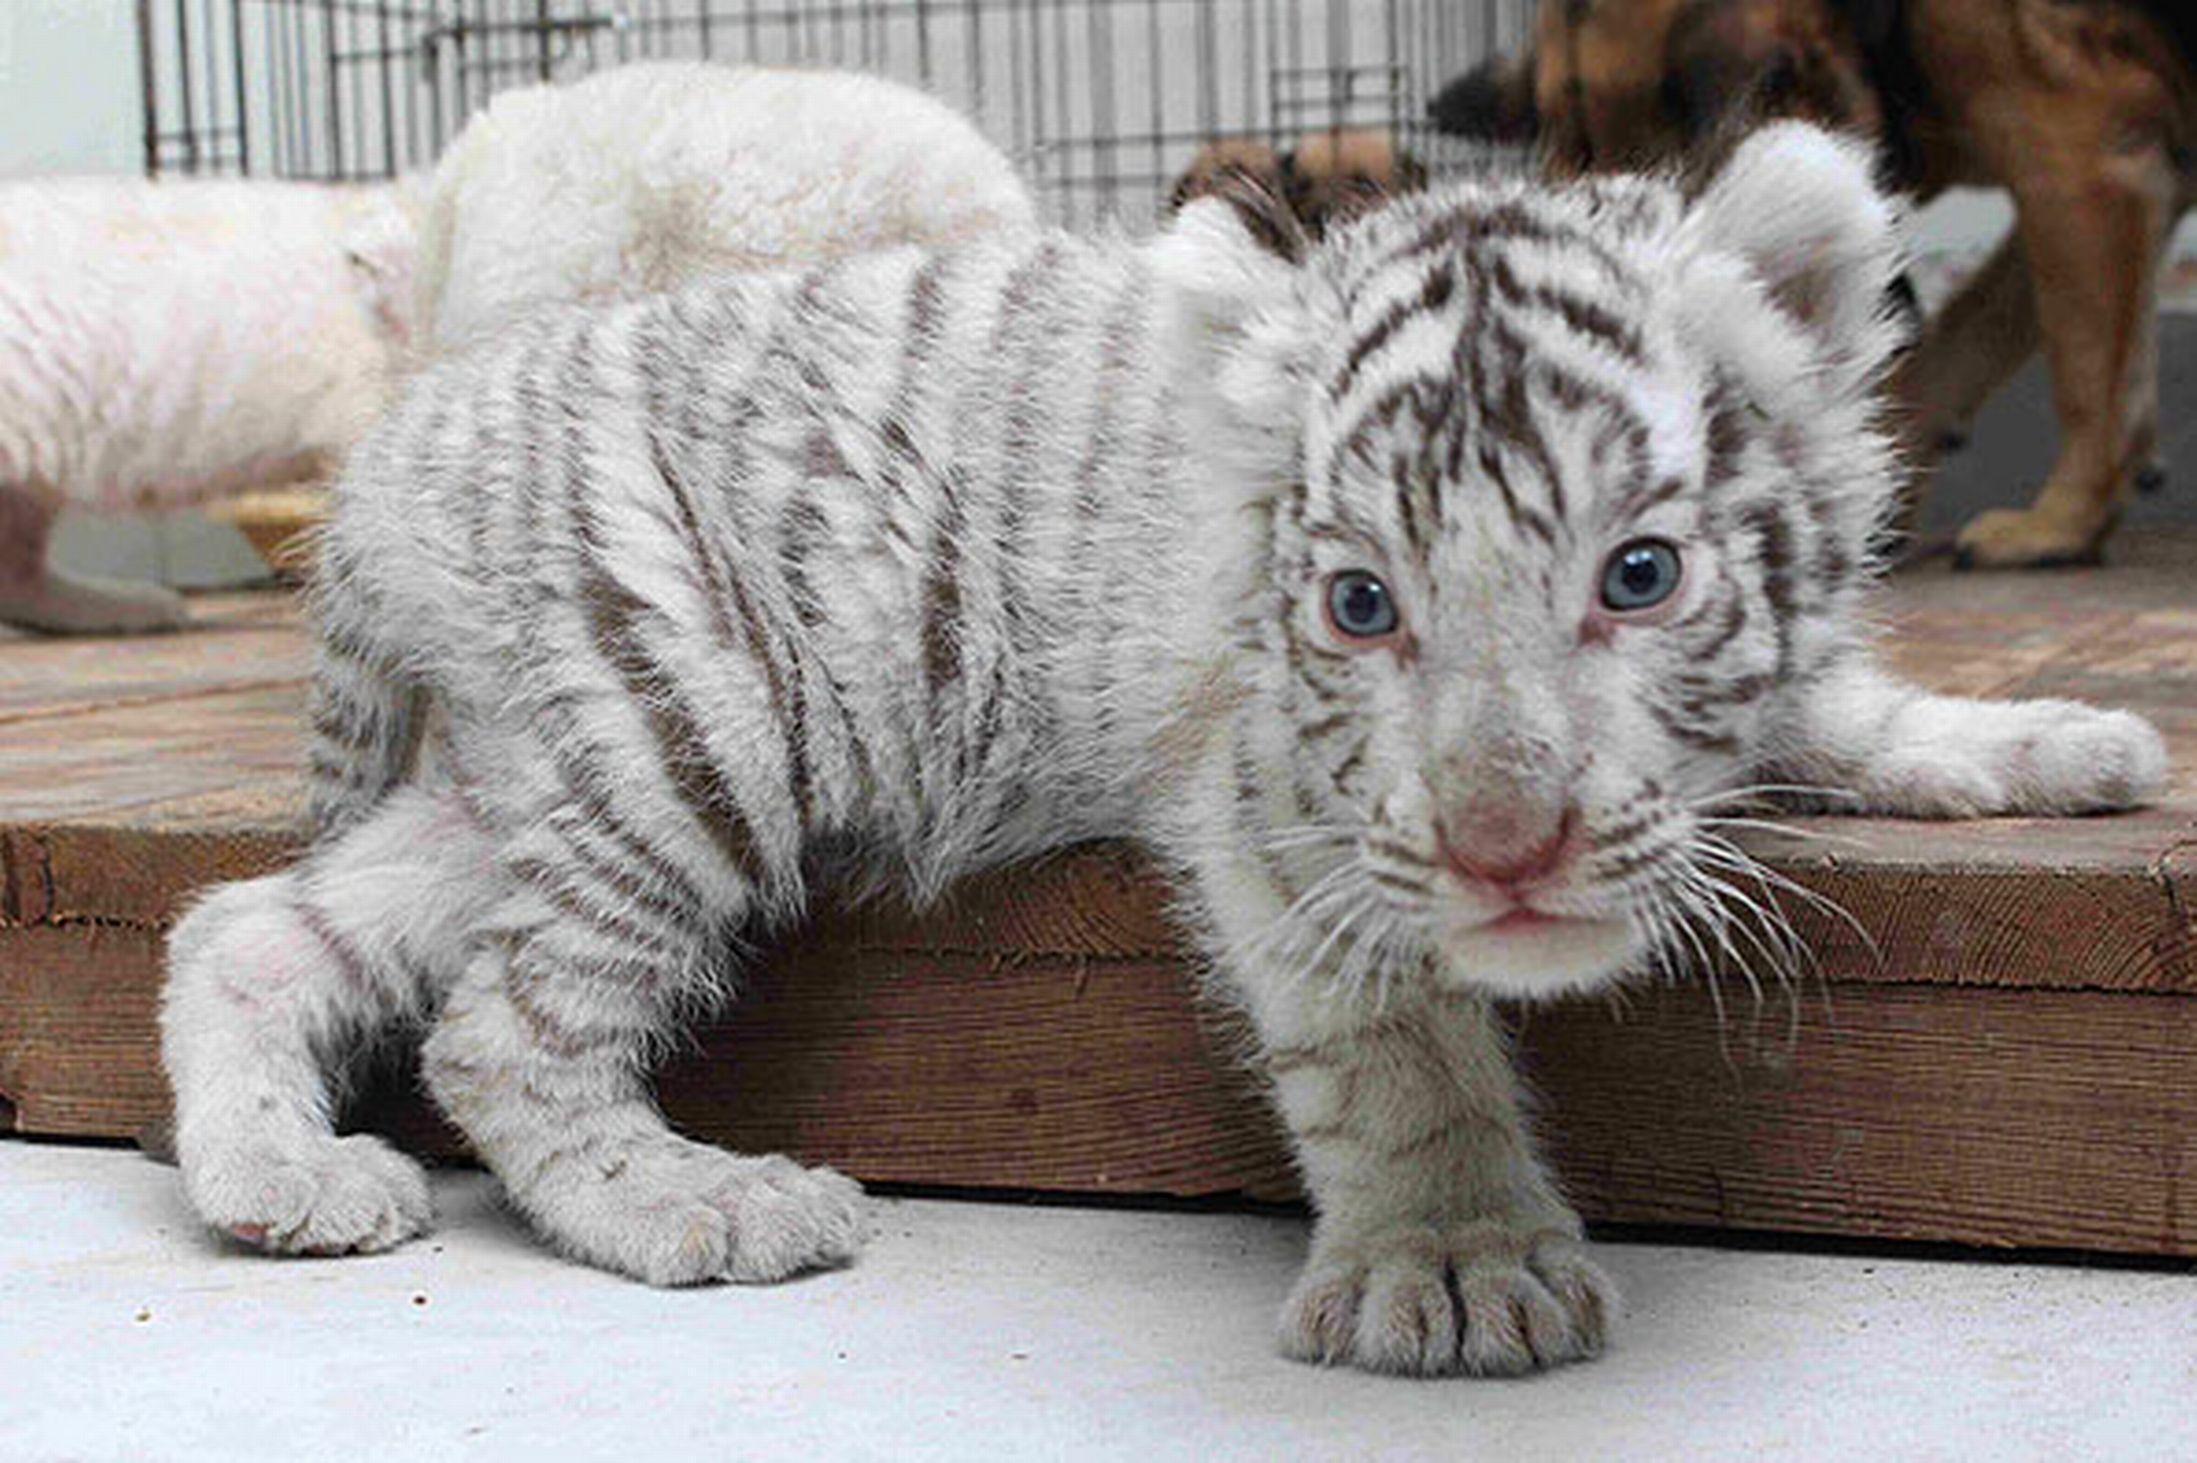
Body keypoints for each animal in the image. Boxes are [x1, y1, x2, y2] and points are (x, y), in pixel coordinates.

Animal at [160, 124, 2164, 1377]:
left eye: (1640, 574)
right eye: (1358, 604)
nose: (1505, 849)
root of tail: (384, 472)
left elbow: (1842, 696)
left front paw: (2055, 741)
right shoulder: (1267, 790)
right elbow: (1389, 1038)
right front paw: (1455, 1261)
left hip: (536, 762)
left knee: (248, 928)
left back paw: (284, 1183)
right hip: (686, 727)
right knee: (500, 1028)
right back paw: (705, 1201)